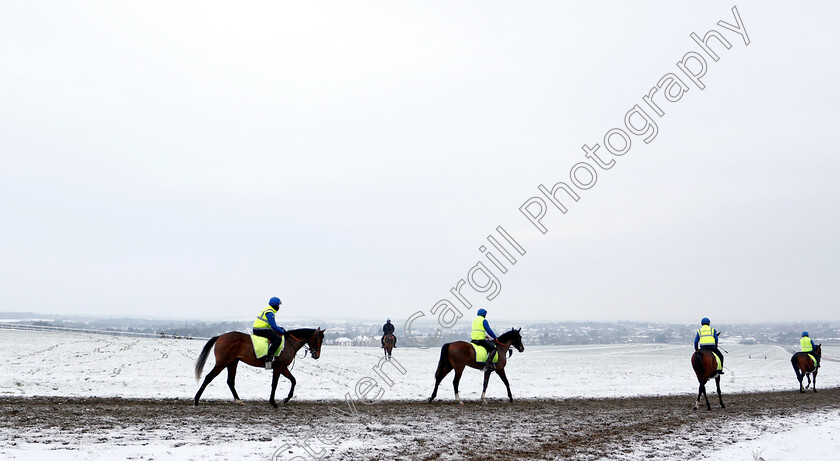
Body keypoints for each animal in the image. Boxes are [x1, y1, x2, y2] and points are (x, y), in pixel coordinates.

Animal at [194, 328, 324, 406]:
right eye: (318, 339)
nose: (317, 355)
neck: (289, 343)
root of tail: (220, 336)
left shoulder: (283, 368)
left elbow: (293, 380)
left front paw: (286, 399)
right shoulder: (279, 367)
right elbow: (275, 384)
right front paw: (273, 402)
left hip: (232, 363)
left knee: (230, 381)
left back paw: (239, 400)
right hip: (222, 363)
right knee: (208, 377)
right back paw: (196, 399)